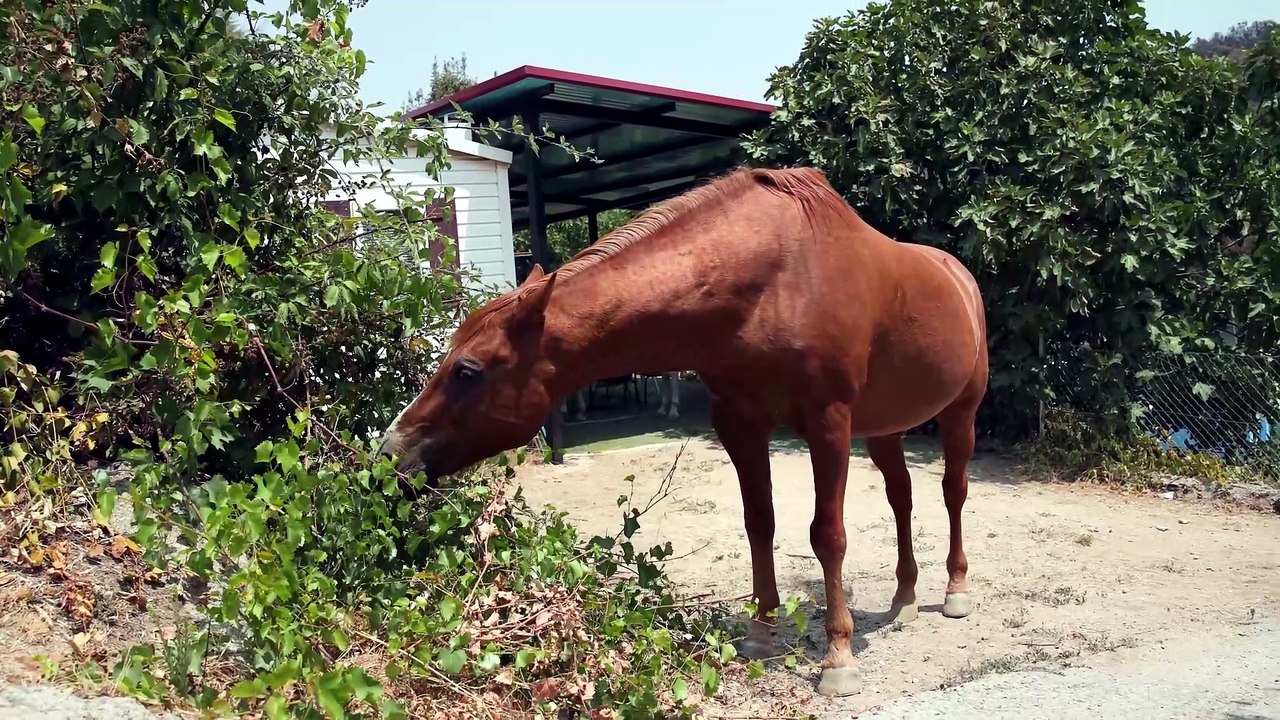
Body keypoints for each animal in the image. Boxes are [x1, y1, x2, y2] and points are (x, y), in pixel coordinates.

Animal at [378, 166, 988, 697]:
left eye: (467, 371)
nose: (391, 453)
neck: (773, 282)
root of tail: (959, 274)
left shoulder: (828, 424)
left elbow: (827, 535)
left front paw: (837, 658)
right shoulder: (739, 421)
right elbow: (759, 523)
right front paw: (761, 630)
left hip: (962, 412)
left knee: (953, 492)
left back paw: (956, 591)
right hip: (885, 427)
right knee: (901, 498)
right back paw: (904, 597)